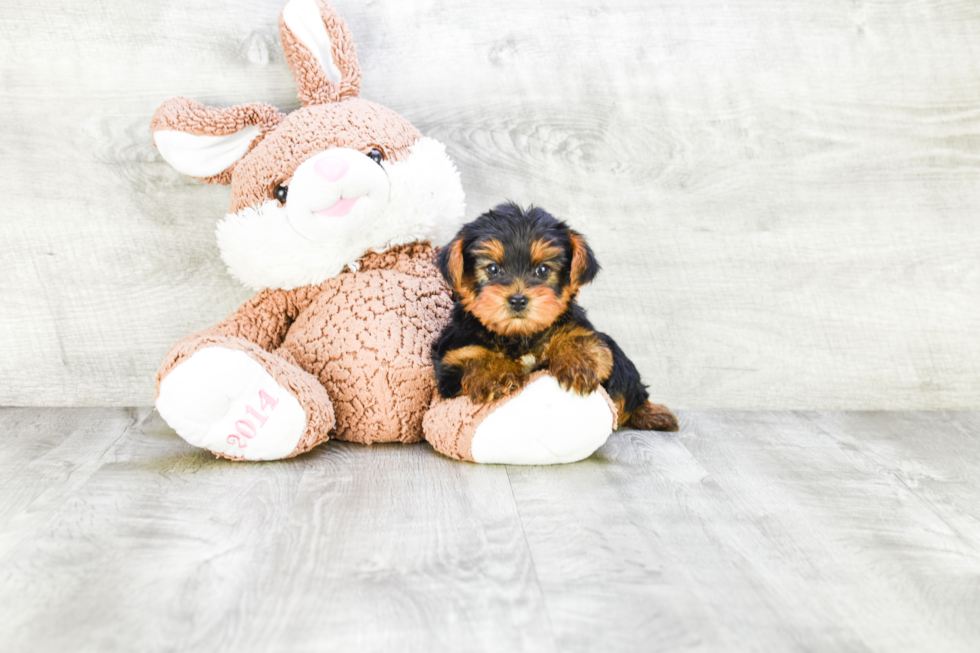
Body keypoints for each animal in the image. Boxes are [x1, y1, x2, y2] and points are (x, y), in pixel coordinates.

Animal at [432, 201, 676, 430]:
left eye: (542, 270)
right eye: (493, 269)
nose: (518, 300)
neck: (521, 335)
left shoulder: (578, 327)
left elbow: (579, 338)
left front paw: (578, 363)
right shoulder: (453, 353)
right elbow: (470, 354)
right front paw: (494, 375)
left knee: (628, 385)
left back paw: (651, 414)